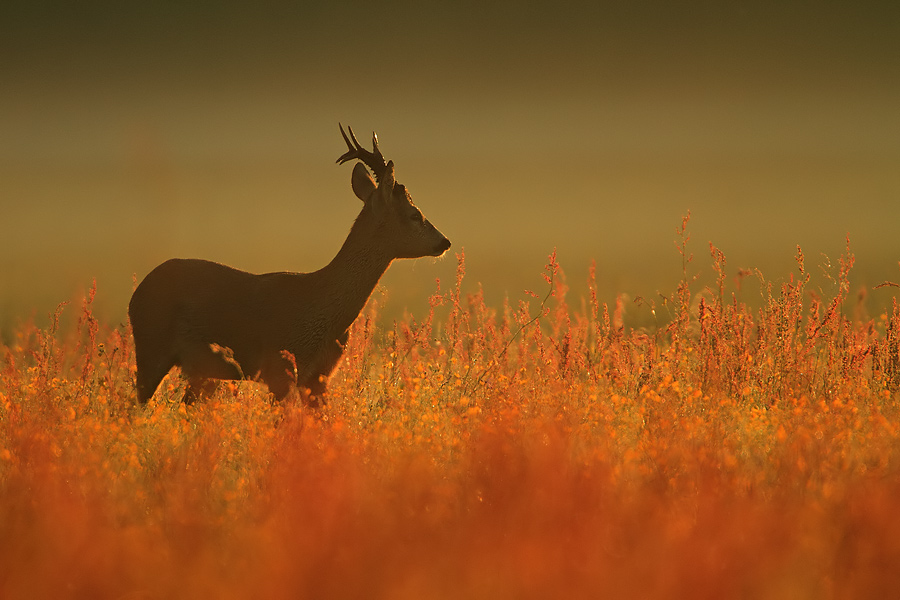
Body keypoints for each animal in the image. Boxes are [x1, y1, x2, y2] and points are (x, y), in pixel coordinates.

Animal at [128, 124, 450, 406]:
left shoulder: (319, 377)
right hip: (151, 347)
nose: (444, 242)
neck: (322, 308)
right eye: (414, 214)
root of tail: (137, 293)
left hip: (201, 372)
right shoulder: (279, 370)